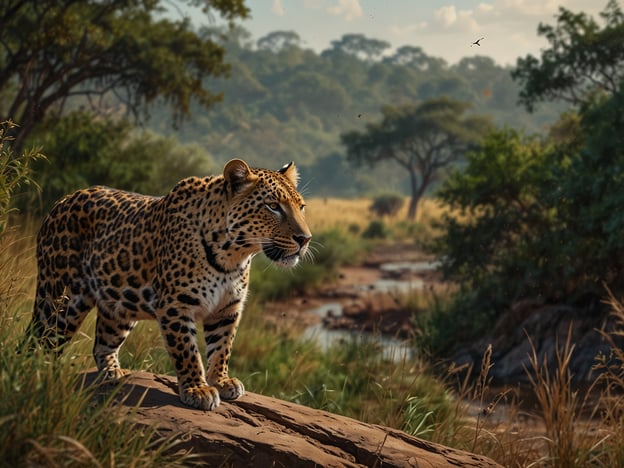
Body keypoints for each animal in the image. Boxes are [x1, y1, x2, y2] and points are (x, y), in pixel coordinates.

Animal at [25, 160, 312, 410]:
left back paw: (112, 373)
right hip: (61, 299)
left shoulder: (227, 309)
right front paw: (198, 389)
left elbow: (222, 347)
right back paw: (33, 377)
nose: (305, 238)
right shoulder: (176, 305)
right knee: (39, 339)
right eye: (273, 206)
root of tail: (62, 200)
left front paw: (221, 381)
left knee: (102, 344)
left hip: (117, 306)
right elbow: (187, 351)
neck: (233, 256)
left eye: (301, 207)